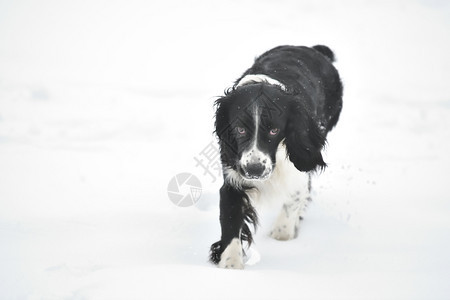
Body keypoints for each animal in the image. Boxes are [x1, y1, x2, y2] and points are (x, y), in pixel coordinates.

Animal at [209, 44, 342, 268]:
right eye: (239, 129)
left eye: (274, 131)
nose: (254, 169)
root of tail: (312, 48)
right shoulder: (233, 179)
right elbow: (231, 220)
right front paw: (230, 264)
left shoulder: (297, 170)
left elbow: (293, 203)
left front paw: (282, 235)